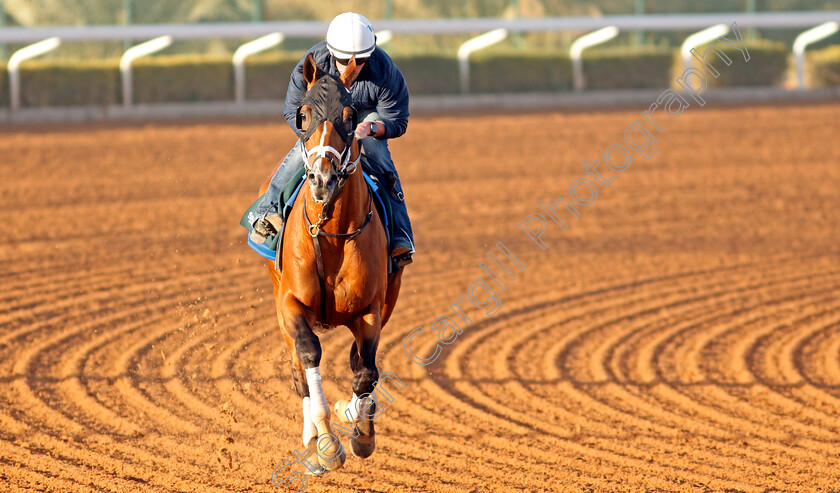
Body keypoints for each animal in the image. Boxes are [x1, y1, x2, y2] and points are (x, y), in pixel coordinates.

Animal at [260, 53, 406, 472]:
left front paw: (361, 432)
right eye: (303, 114)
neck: (330, 236)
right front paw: (325, 442)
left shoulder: (372, 309)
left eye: (350, 115)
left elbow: (366, 372)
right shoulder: (290, 302)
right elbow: (309, 356)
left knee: (360, 364)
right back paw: (311, 437)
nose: (322, 180)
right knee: (298, 370)